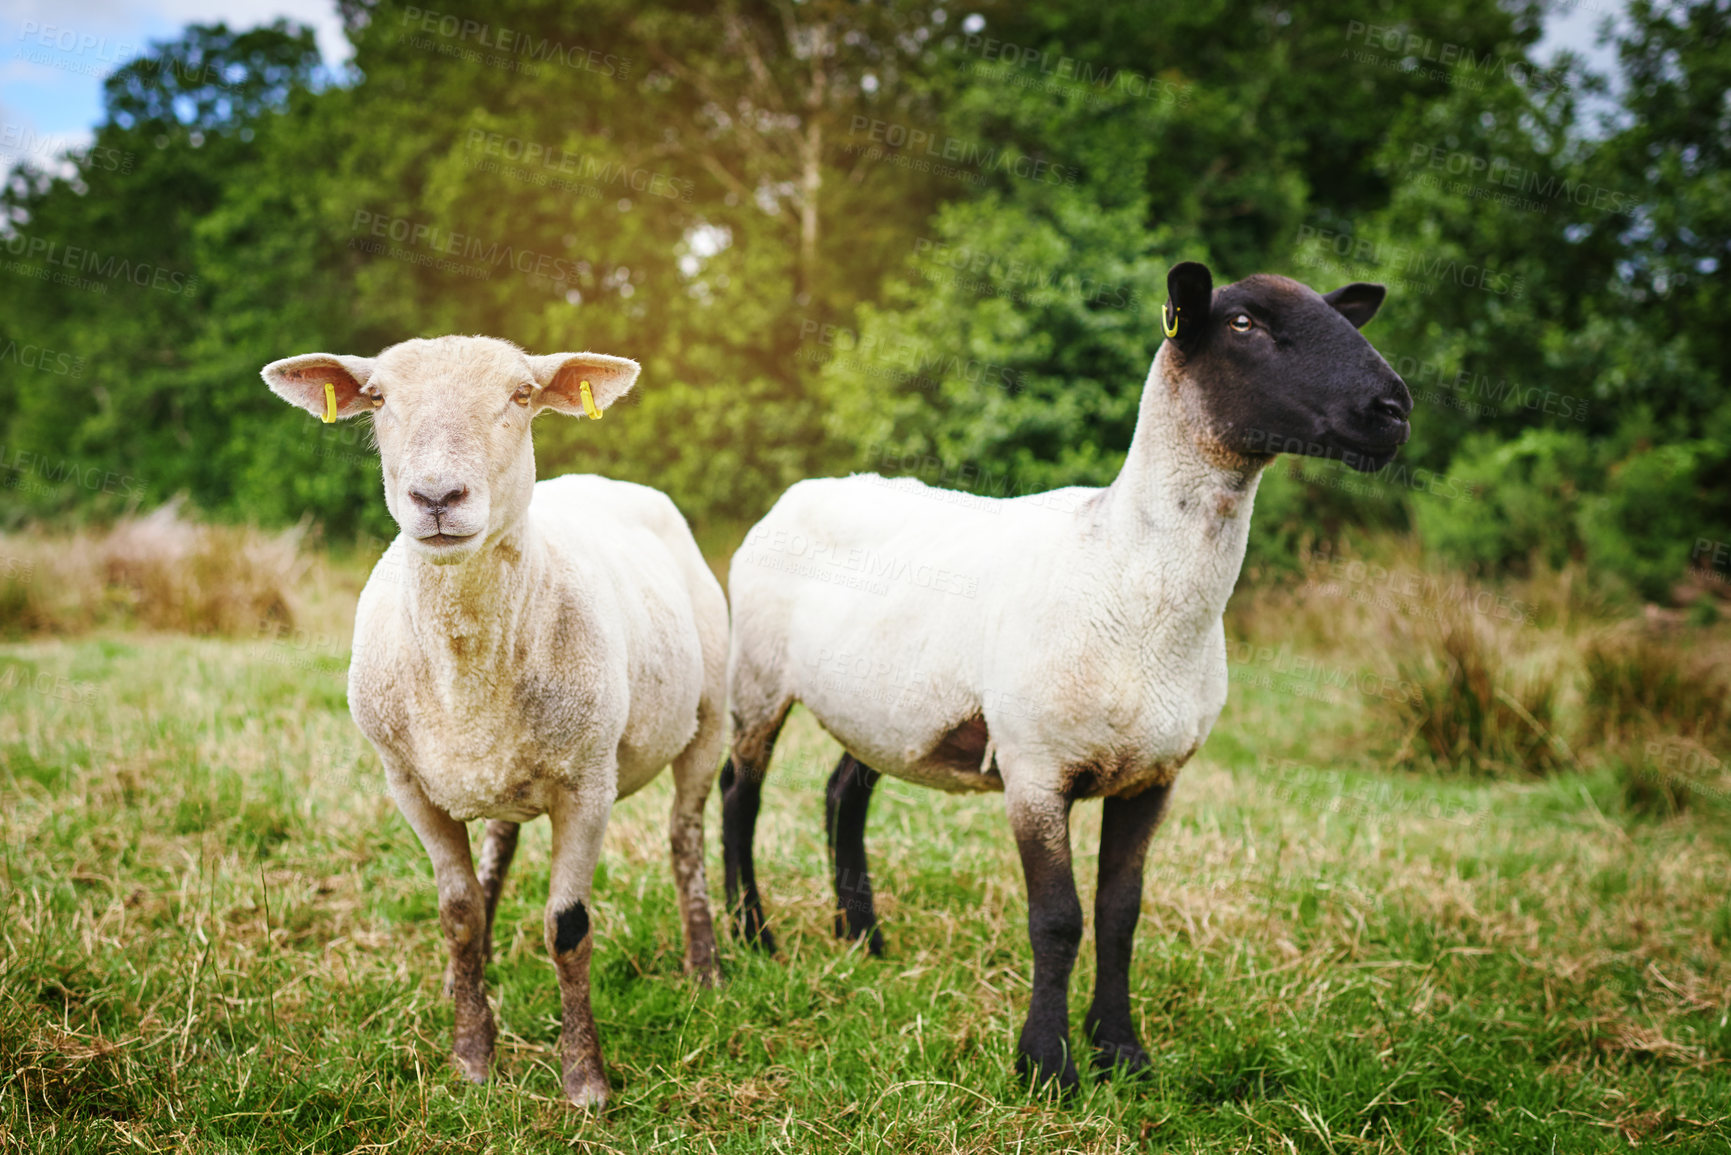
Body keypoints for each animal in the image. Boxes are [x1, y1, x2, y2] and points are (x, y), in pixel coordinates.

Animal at [257, 334, 723, 1108]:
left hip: (711, 717)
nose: (437, 497)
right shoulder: (407, 784)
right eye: (377, 398)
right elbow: (459, 913)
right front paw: (471, 1052)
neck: (466, 673)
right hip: (506, 770)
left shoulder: (588, 784)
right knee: (498, 850)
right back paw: (467, 976)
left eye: (522, 395)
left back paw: (706, 965)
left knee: (685, 837)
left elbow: (568, 928)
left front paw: (584, 1079)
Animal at [716, 264, 1405, 1094]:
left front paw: (1122, 1052)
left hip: (884, 704)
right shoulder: (1035, 769)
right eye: (1243, 323)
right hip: (757, 675)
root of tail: (804, 488)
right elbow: (1058, 918)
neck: (1121, 565)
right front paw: (1045, 1063)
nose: (1394, 409)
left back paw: (863, 938)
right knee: (739, 792)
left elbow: (1119, 913)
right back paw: (752, 934)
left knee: (842, 792)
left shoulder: (1153, 777)